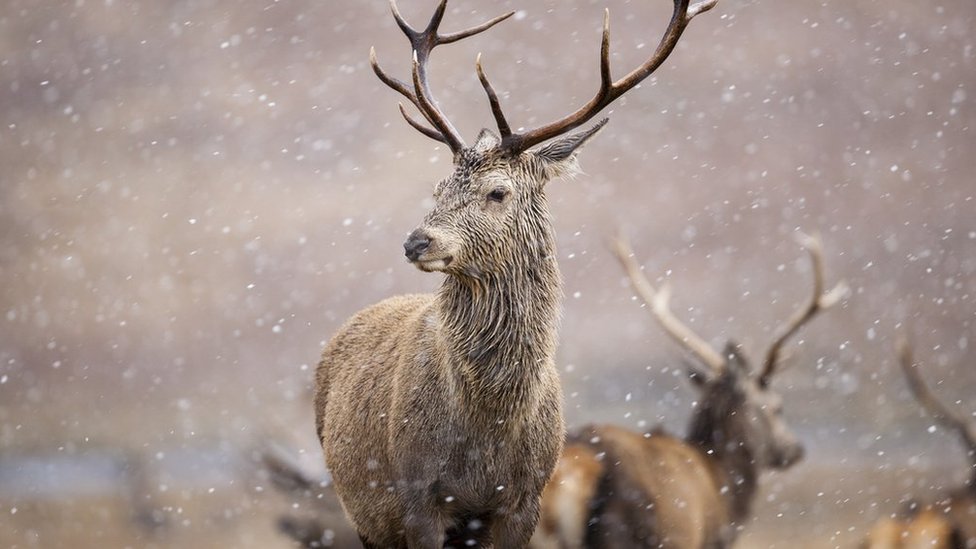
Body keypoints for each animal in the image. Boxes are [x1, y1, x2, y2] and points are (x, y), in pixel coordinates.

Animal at [314, 0, 724, 544]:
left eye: (498, 191)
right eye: (438, 187)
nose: (416, 241)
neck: (490, 423)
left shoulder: (524, 500)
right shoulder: (416, 496)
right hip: (364, 513)